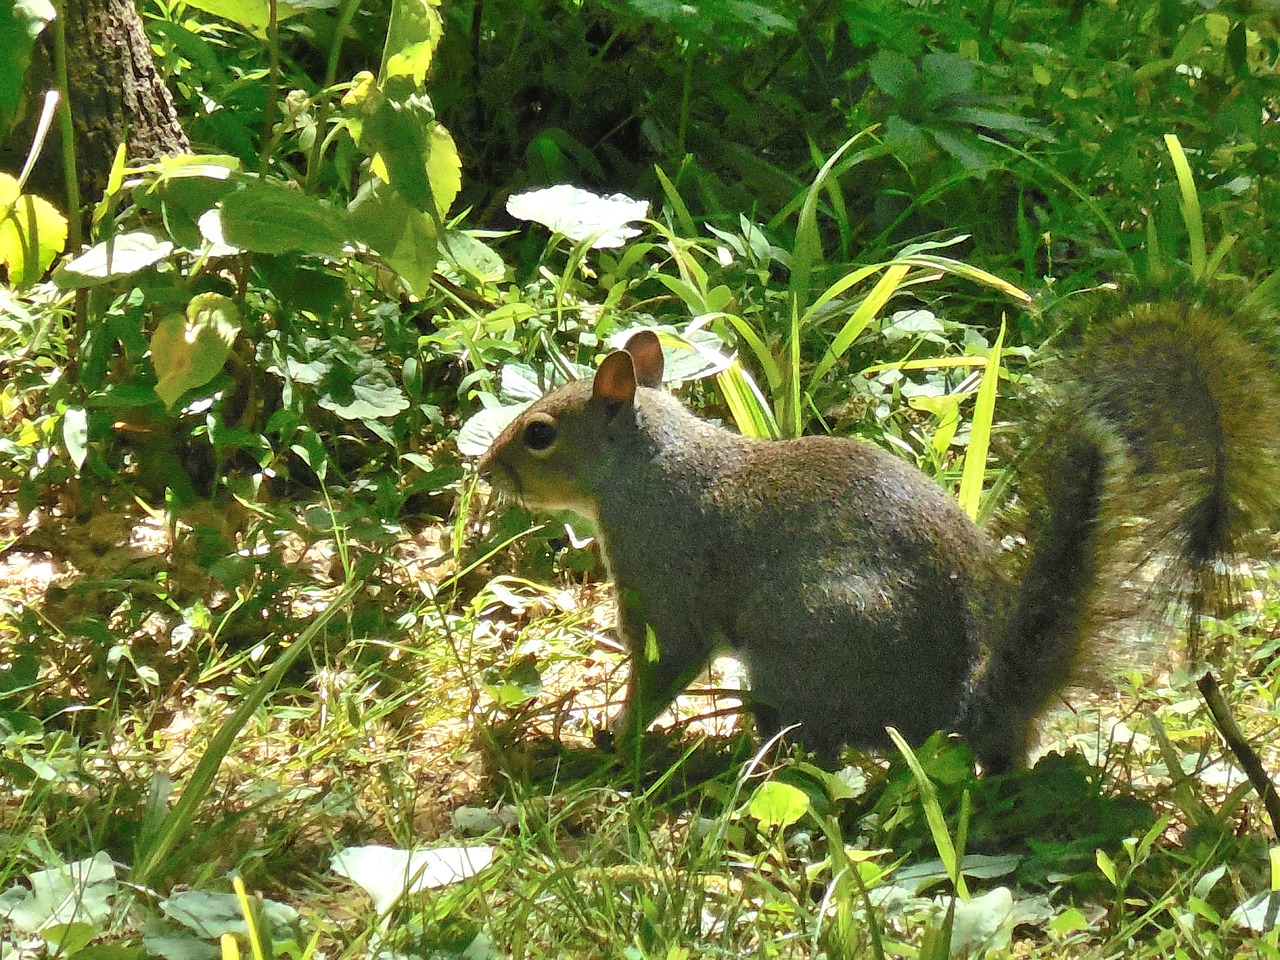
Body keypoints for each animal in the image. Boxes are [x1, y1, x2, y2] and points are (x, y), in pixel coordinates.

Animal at [481, 308, 1280, 773]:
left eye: (540, 433)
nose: (485, 470)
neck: (648, 466)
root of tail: (962, 709)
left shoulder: (664, 581)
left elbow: (662, 663)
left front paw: (617, 736)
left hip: (806, 649)